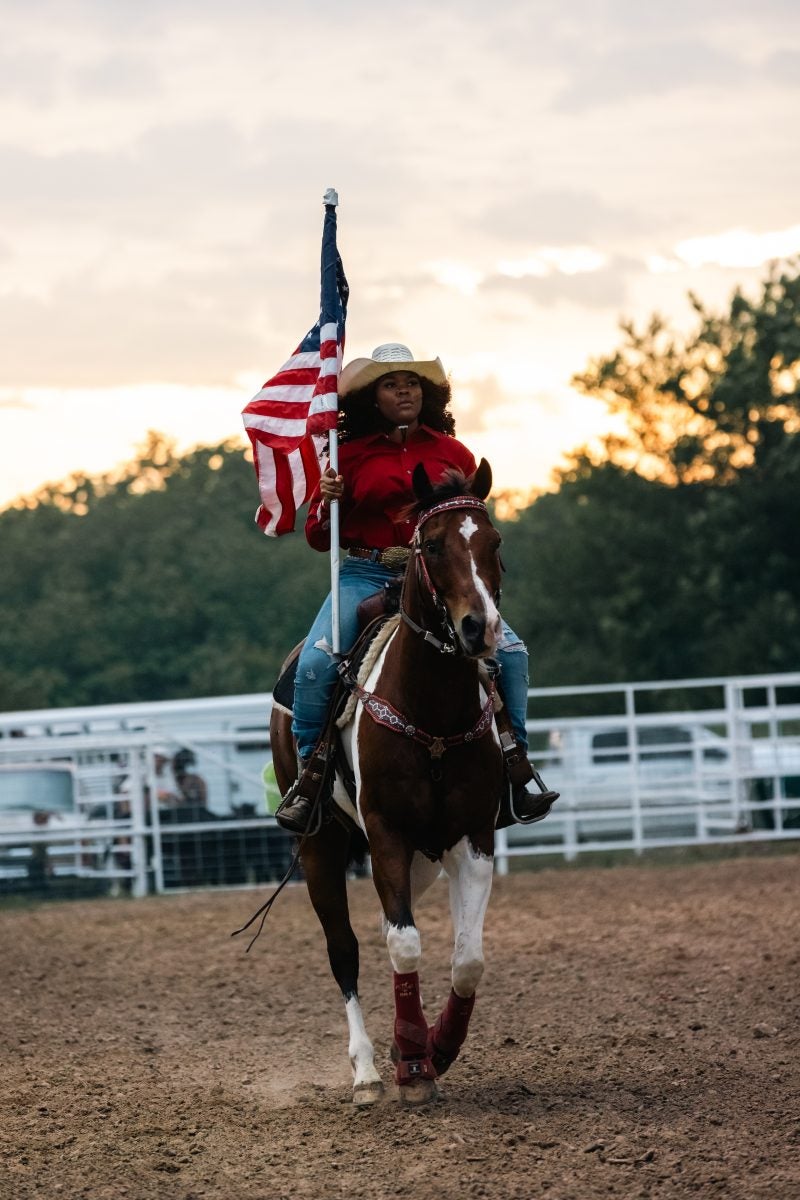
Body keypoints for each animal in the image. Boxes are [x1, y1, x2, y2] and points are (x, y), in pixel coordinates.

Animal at [268, 458, 506, 1104]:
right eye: (433, 544)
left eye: (494, 542)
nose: (479, 628)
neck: (433, 713)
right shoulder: (387, 833)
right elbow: (403, 944)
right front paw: (415, 1068)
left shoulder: (473, 837)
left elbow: (467, 957)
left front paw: (436, 1050)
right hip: (322, 846)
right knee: (345, 948)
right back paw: (370, 1071)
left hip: (424, 856)